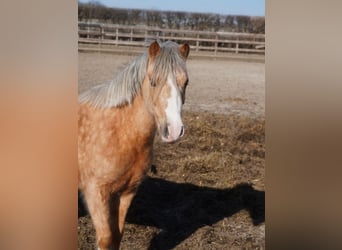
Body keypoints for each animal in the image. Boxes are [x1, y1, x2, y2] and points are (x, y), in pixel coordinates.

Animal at [78, 41, 190, 250]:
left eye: (185, 82)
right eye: (153, 81)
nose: (173, 130)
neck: (119, 130)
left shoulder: (126, 193)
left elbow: (117, 236)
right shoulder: (96, 193)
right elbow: (106, 239)